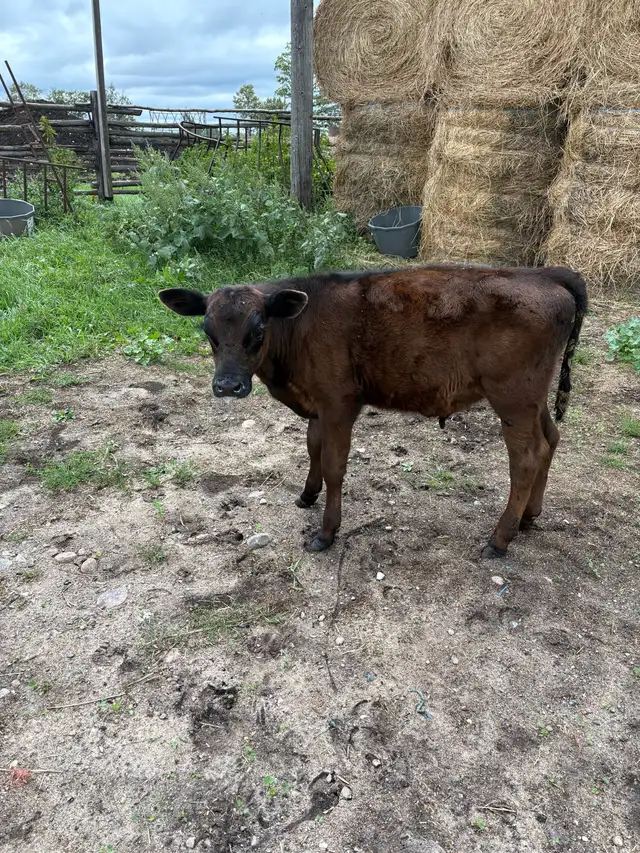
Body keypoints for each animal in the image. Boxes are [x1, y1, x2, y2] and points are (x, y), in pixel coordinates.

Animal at [158, 264, 587, 559]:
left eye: (257, 331)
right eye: (208, 332)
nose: (227, 387)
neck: (299, 328)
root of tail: (546, 274)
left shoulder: (339, 404)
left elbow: (334, 465)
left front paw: (326, 532)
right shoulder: (318, 405)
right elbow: (312, 448)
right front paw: (307, 495)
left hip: (513, 397)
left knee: (526, 459)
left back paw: (500, 539)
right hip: (533, 400)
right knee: (550, 440)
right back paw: (529, 517)